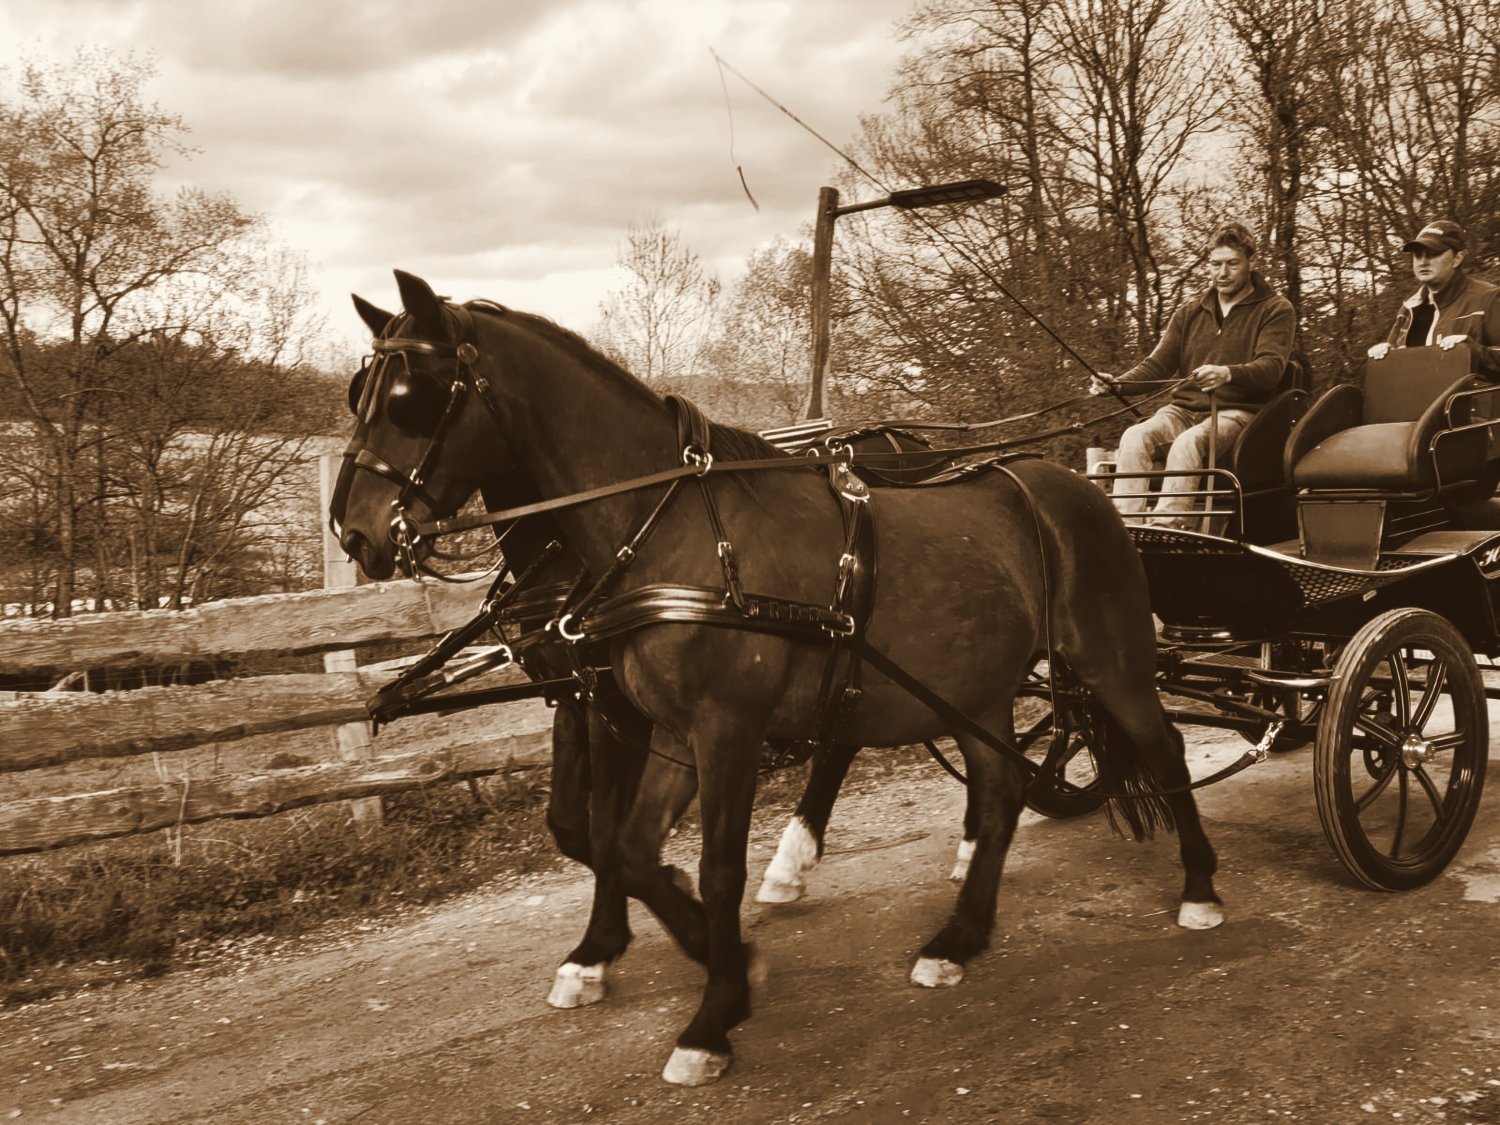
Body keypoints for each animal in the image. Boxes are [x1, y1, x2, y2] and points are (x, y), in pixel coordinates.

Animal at [331, 270, 1223, 1087]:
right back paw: (958, 933)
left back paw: (1200, 888)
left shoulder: (721, 726)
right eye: (358, 392)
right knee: (999, 787)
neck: (664, 531)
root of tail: (1069, 482)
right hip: (975, 686)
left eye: (408, 396)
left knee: (1164, 749)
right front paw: (671, 952)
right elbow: (621, 842)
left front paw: (713, 1008)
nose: (353, 531)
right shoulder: (654, 725)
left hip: (1109, 660)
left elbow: (707, 863)